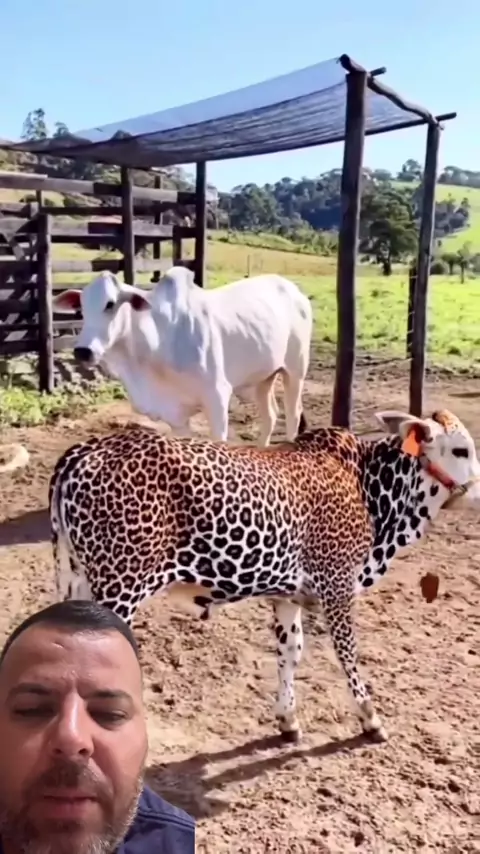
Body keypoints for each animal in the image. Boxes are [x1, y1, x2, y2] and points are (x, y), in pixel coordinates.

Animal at [52, 267, 313, 445]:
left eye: (110, 304)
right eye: (80, 308)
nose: (83, 351)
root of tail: (294, 290)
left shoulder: (217, 398)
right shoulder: (176, 417)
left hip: (295, 371)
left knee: (293, 414)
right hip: (264, 377)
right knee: (271, 416)